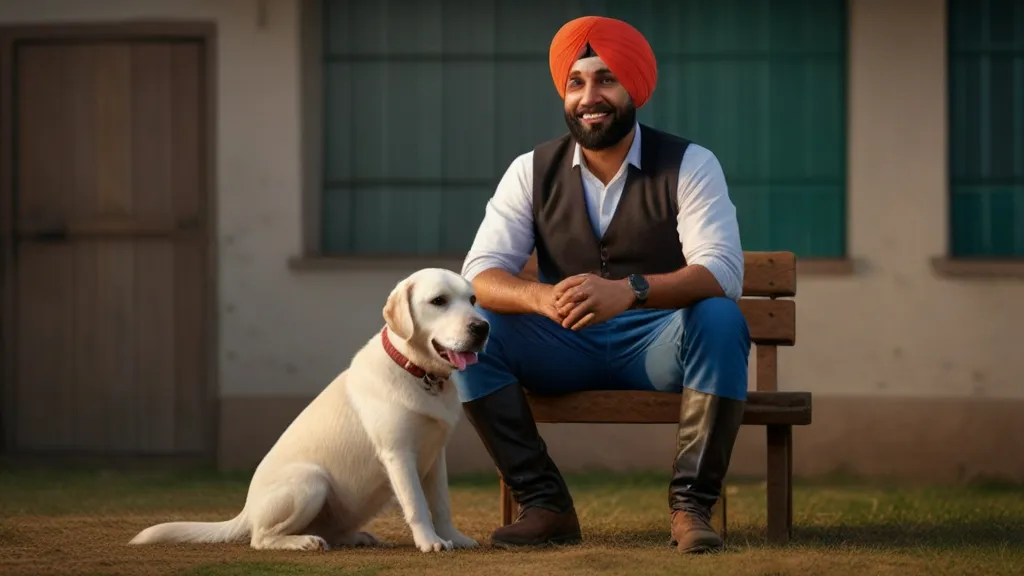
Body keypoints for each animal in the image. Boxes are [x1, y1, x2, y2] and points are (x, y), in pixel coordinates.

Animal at [130, 268, 489, 553]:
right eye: (439, 301)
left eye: (472, 299)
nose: (482, 327)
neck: (417, 372)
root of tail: (246, 510)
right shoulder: (399, 455)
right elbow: (417, 506)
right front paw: (430, 542)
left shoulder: (435, 457)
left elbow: (440, 505)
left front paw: (454, 537)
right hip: (311, 481)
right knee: (260, 538)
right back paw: (302, 541)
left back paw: (354, 537)